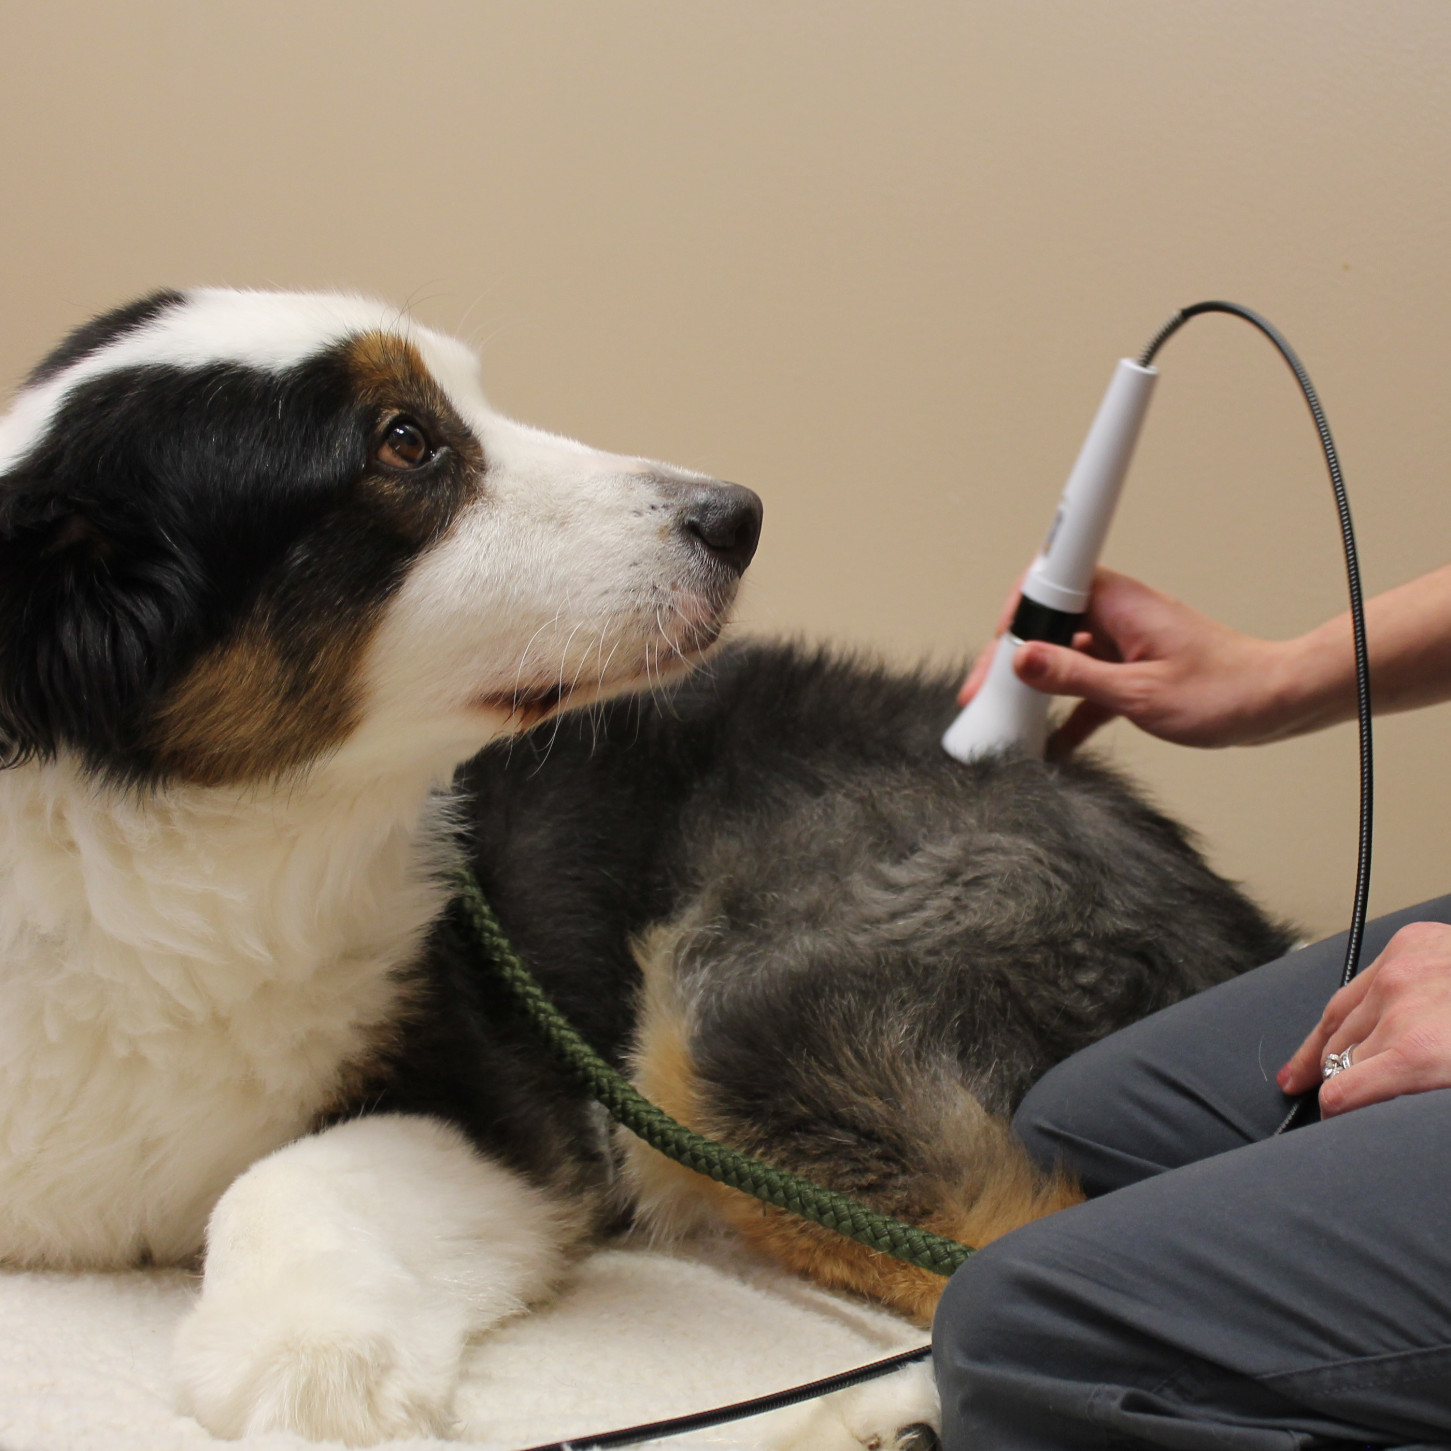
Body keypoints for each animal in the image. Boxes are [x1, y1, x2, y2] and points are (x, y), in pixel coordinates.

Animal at [0, 288, 1294, 1445]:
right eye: (405, 441)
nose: (737, 514)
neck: (168, 845)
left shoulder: (515, 1108)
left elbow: (275, 1179)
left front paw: (312, 1371)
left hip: (733, 1026)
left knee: (1041, 1250)